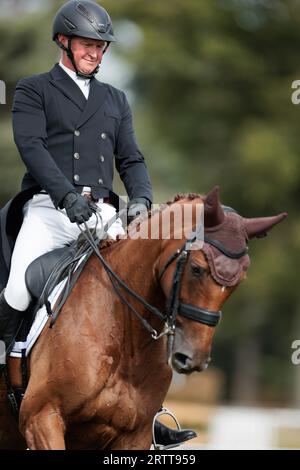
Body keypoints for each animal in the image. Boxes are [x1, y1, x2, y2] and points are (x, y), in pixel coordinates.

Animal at [0, 186, 286, 448]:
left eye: (239, 280)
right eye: (196, 269)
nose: (192, 358)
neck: (124, 336)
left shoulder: (134, 436)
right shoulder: (41, 419)